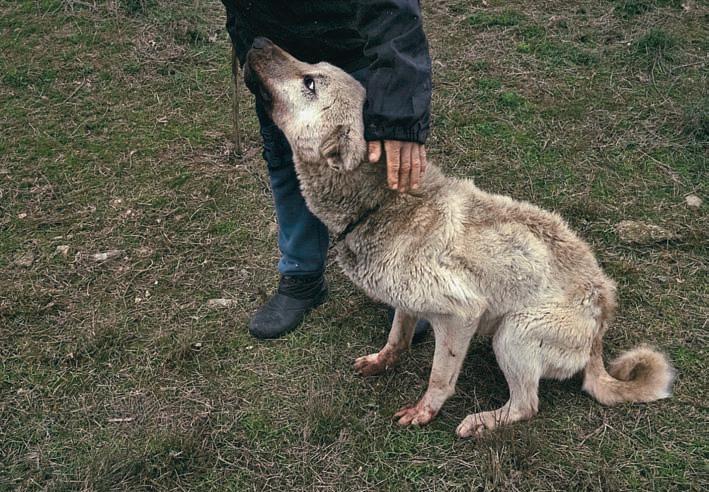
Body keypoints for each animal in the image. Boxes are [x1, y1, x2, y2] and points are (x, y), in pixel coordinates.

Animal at [244, 38, 675, 437]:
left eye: (310, 82)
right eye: (311, 67)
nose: (258, 41)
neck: (382, 203)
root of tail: (601, 323)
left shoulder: (461, 316)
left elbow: (439, 377)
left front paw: (425, 411)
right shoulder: (407, 301)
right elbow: (397, 337)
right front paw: (383, 362)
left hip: (512, 334)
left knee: (526, 405)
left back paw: (483, 422)